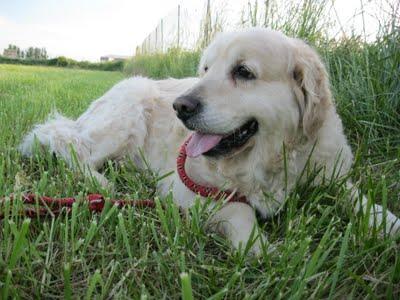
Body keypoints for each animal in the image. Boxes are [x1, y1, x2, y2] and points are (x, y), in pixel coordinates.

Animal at [19, 28, 400, 254]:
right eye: (205, 69)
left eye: (243, 72)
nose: (180, 106)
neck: (269, 157)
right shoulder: (184, 186)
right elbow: (238, 208)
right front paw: (259, 248)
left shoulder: (330, 175)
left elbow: (360, 200)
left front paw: (387, 224)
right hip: (127, 109)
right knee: (70, 147)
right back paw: (101, 184)